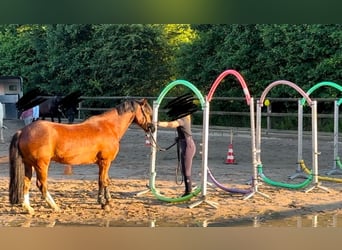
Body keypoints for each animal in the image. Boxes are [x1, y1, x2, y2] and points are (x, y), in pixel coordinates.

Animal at [9, 98, 155, 214]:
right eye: (148, 112)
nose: (152, 128)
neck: (109, 126)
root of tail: (23, 131)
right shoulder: (105, 161)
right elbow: (102, 181)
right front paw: (103, 203)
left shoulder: (104, 163)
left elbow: (105, 180)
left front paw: (108, 201)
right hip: (41, 164)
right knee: (41, 185)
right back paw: (55, 206)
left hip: (29, 164)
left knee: (26, 183)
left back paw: (28, 208)